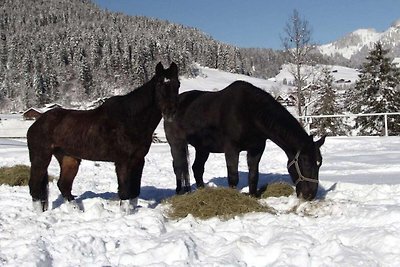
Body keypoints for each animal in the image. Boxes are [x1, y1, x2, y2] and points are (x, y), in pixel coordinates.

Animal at [27, 61, 180, 213]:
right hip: (40, 158)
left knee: (63, 185)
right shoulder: (123, 162)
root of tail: (37, 123)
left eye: (177, 84)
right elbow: (124, 191)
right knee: (35, 186)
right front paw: (124, 214)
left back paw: (77, 211)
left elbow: (135, 191)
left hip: (69, 158)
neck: (130, 119)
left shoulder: (138, 160)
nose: (170, 112)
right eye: (160, 84)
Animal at [165, 81, 324, 201]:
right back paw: (179, 192)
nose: (310, 195)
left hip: (202, 148)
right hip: (176, 144)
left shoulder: (256, 149)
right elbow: (233, 177)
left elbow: (253, 175)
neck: (250, 112)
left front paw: (253, 197)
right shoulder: (231, 149)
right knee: (178, 167)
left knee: (197, 168)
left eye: (319, 163)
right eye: (305, 162)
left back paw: (202, 192)